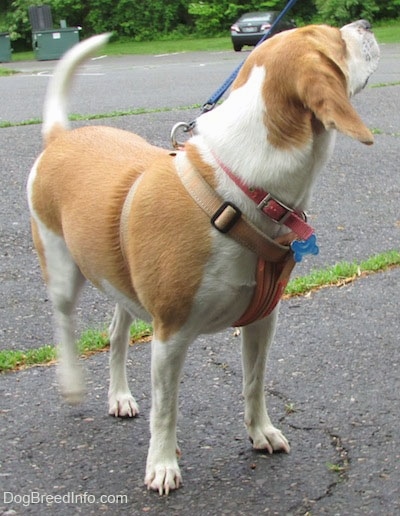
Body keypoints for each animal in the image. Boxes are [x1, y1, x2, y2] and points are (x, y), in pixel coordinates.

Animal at [27, 21, 378, 496]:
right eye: (335, 39)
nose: (364, 25)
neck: (242, 190)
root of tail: (62, 137)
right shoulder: (170, 335)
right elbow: (166, 409)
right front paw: (161, 465)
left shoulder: (262, 320)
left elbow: (254, 383)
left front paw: (260, 431)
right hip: (63, 271)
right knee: (65, 324)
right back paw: (72, 383)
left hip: (121, 283)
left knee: (116, 335)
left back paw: (119, 396)